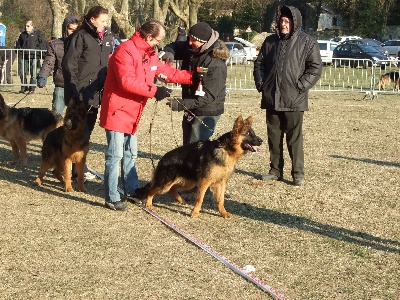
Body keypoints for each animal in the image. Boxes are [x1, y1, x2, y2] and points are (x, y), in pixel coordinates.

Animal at [136, 115, 264, 218]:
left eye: (253, 133)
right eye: (248, 134)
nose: (262, 141)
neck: (226, 149)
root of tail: (162, 159)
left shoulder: (221, 183)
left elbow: (220, 200)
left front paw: (223, 213)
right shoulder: (204, 182)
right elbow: (199, 199)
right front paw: (194, 213)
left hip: (187, 183)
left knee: (172, 189)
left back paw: (181, 200)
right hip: (165, 184)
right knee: (151, 190)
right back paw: (148, 204)